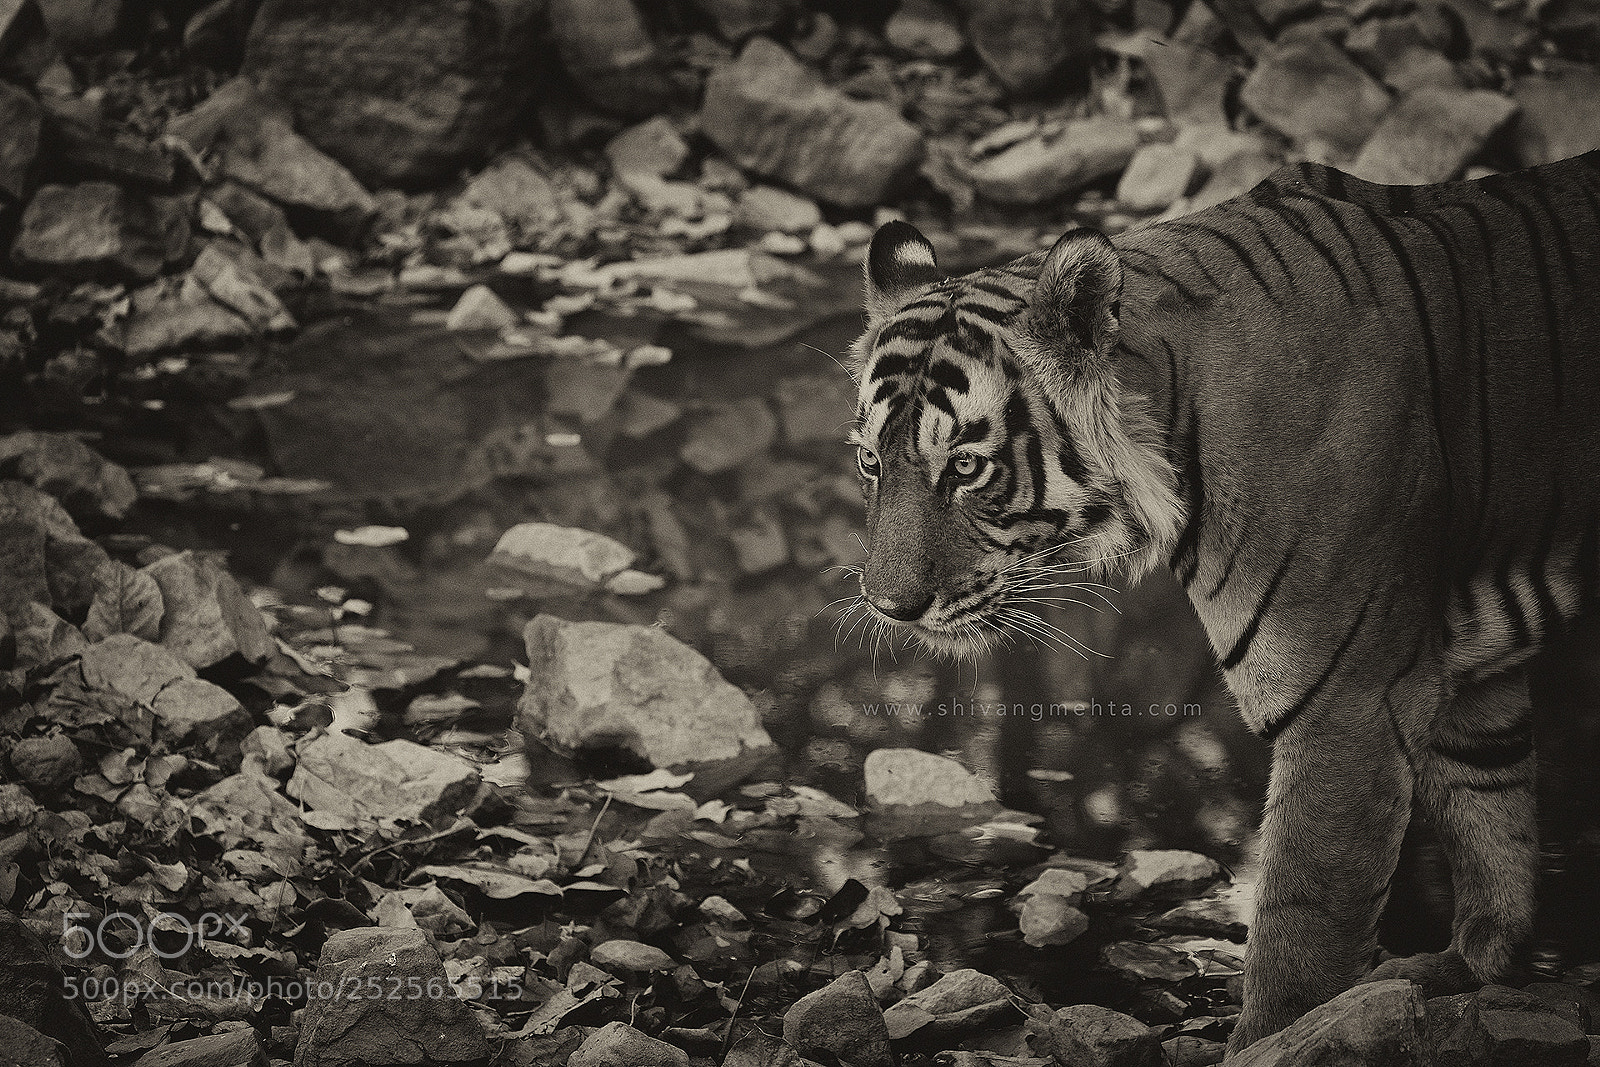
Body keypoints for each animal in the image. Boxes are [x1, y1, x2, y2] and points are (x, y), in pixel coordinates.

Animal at [846, 148, 1600, 1051]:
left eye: (965, 465)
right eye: (870, 461)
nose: (889, 605)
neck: (1176, 416)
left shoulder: (1347, 705)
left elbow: (1301, 927)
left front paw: (1276, 1039)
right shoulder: (1468, 672)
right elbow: (1494, 820)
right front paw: (1465, 969)